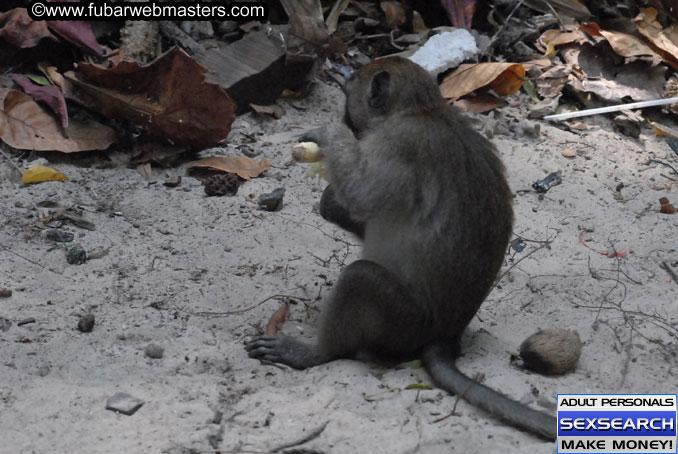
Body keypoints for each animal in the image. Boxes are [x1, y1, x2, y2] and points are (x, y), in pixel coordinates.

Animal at [247, 56, 560, 440]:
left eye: (350, 85)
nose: (337, 72)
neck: (422, 110)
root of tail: (446, 336)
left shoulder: (396, 143)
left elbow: (362, 195)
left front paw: (329, 136)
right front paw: (329, 201)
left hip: (405, 322)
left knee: (360, 278)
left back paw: (315, 354)